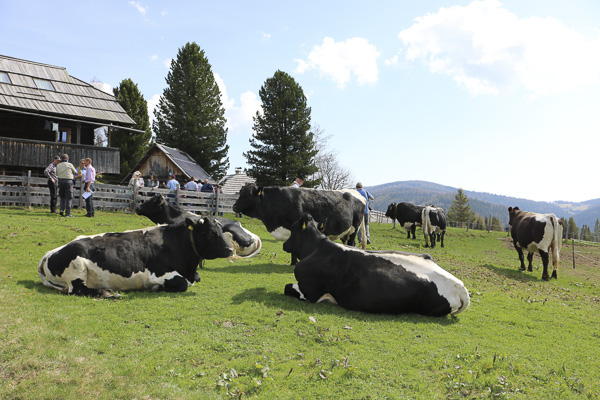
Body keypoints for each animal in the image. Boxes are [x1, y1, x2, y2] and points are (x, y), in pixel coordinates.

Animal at [38, 216, 232, 296]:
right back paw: (107, 293)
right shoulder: (158, 274)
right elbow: (182, 283)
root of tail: (50, 253)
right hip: (77, 269)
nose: (230, 250)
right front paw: (156, 288)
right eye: (209, 232)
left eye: (221, 230)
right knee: (78, 290)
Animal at [232, 183, 368, 264]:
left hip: (354, 228)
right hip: (346, 232)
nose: (234, 207)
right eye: (240, 192)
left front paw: (293, 263)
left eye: (248, 194)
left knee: (351, 242)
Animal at [284, 214, 472, 318]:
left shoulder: (310, 292)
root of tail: (460, 285)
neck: (316, 248)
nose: (285, 245)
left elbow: (287, 287)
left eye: (292, 229)